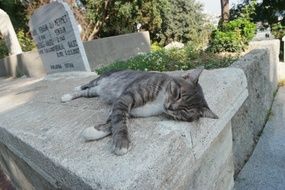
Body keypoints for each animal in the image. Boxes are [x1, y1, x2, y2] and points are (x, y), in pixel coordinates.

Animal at [61, 69, 217, 155]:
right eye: (178, 94)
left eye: (184, 111)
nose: (171, 107)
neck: (160, 101)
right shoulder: (125, 98)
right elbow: (119, 120)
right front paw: (121, 143)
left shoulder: (128, 109)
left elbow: (114, 119)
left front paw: (96, 131)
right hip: (102, 79)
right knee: (88, 85)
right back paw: (71, 92)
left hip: (96, 91)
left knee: (88, 92)